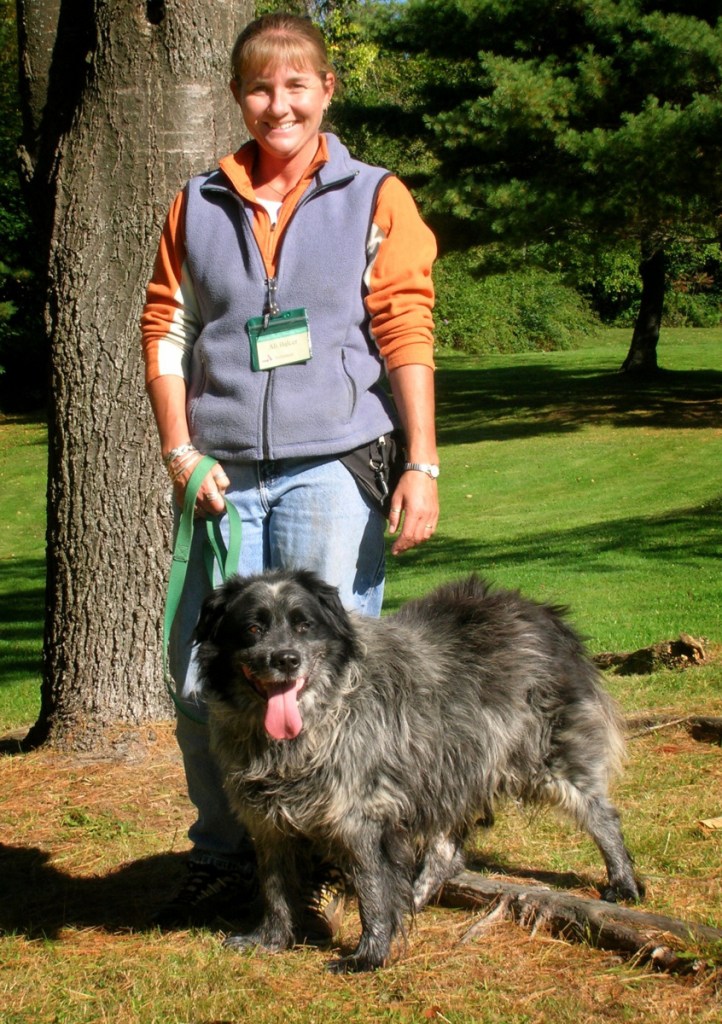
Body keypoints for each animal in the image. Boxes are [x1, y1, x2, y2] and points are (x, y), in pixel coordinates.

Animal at [194, 573, 639, 970]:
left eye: (305, 625)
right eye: (252, 628)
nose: (286, 660)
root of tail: (543, 613)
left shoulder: (362, 817)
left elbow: (373, 890)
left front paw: (370, 955)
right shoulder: (268, 822)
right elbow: (275, 885)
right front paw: (269, 939)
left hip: (547, 762)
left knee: (603, 816)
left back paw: (624, 882)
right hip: (450, 770)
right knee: (445, 854)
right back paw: (414, 898)